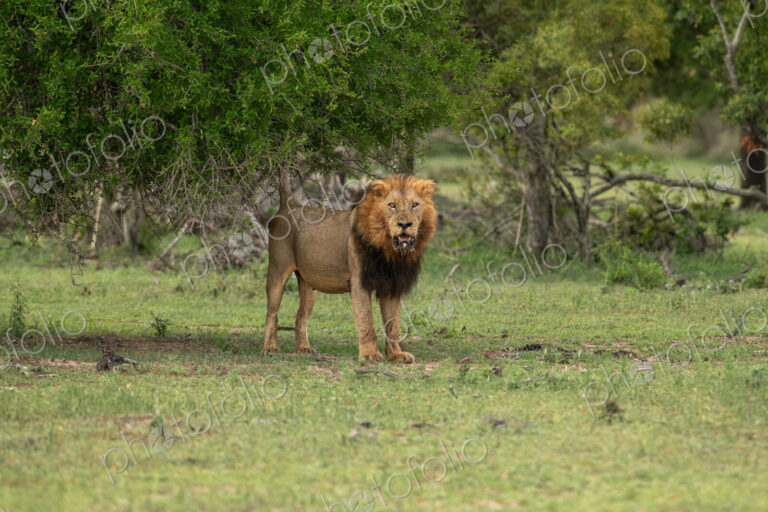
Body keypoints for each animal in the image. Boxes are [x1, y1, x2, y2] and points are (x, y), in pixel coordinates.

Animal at [262, 173, 437, 363]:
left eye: (415, 205)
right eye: (392, 205)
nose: (405, 225)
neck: (390, 251)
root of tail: (290, 204)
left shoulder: (392, 287)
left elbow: (393, 325)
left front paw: (396, 355)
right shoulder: (359, 283)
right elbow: (366, 321)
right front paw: (370, 355)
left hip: (308, 285)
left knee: (300, 316)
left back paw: (303, 349)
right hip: (277, 271)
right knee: (271, 313)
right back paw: (270, 348)